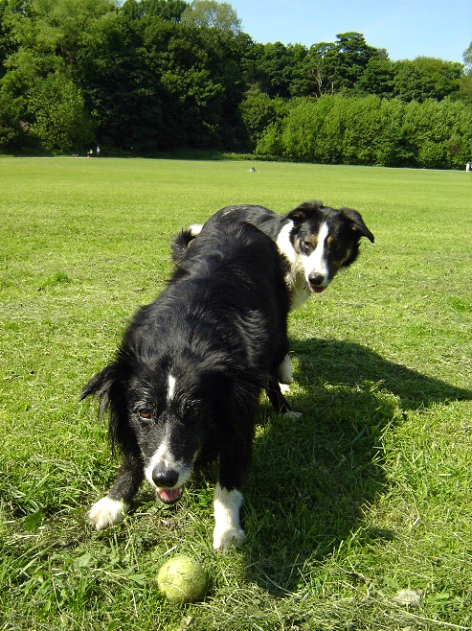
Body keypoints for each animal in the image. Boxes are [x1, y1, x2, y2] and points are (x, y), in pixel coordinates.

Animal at [83, 216, 294, 548]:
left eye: (195, 413)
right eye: (144, 412)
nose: (163, 478)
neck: (181, 339)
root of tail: (239, 221)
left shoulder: (238, 404)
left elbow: (230, 473)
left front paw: (228, 528)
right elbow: (133, 455)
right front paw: (113, 502)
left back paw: (284, 404)